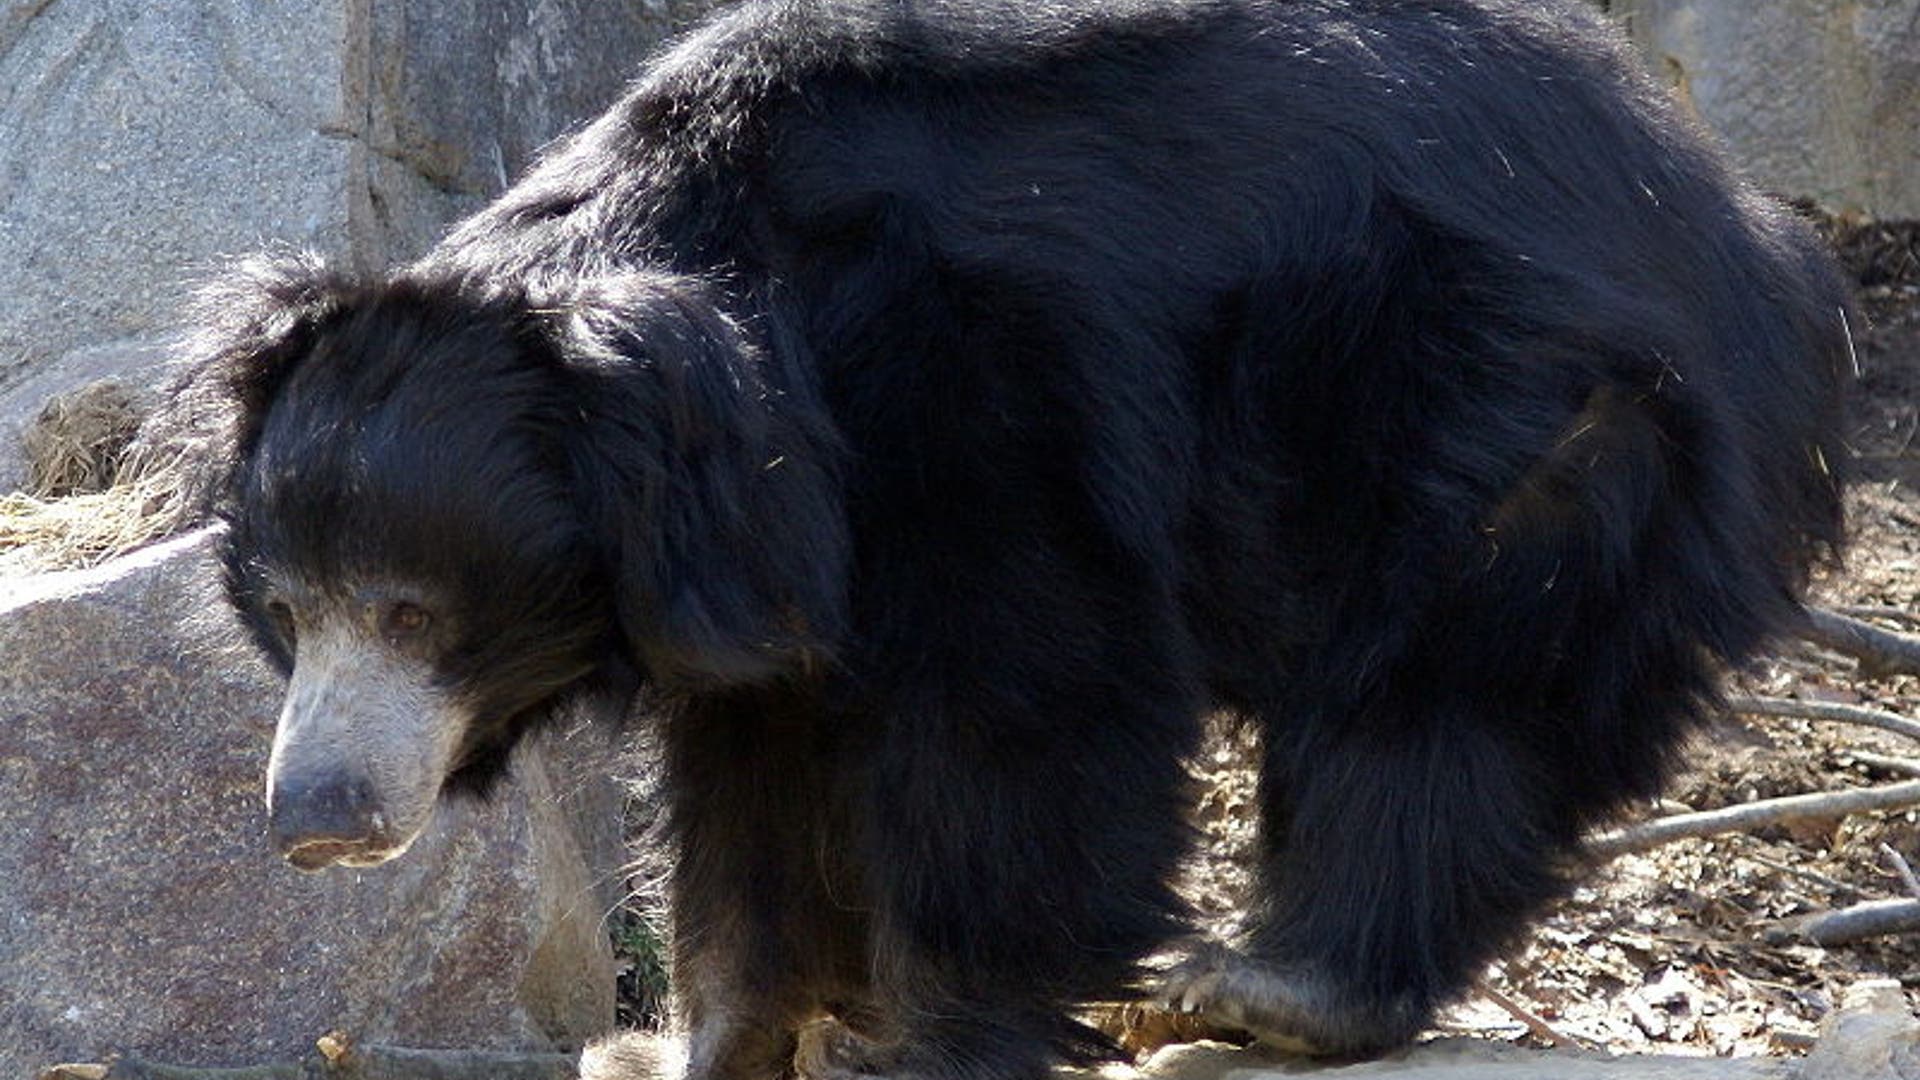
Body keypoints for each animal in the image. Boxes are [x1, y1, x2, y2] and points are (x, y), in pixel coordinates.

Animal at [178, 0, 1850, 1073]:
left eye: (410, 609)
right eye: (287, 608)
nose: (313, 818)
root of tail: (1743, 224)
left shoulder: (981, 400)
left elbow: (1018, 714)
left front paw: (948, 1035)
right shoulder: (754, 571)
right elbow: (753, 780)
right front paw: (701, 1043)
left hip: (1504, 397)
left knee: (1448, 692)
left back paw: (1268, 986)